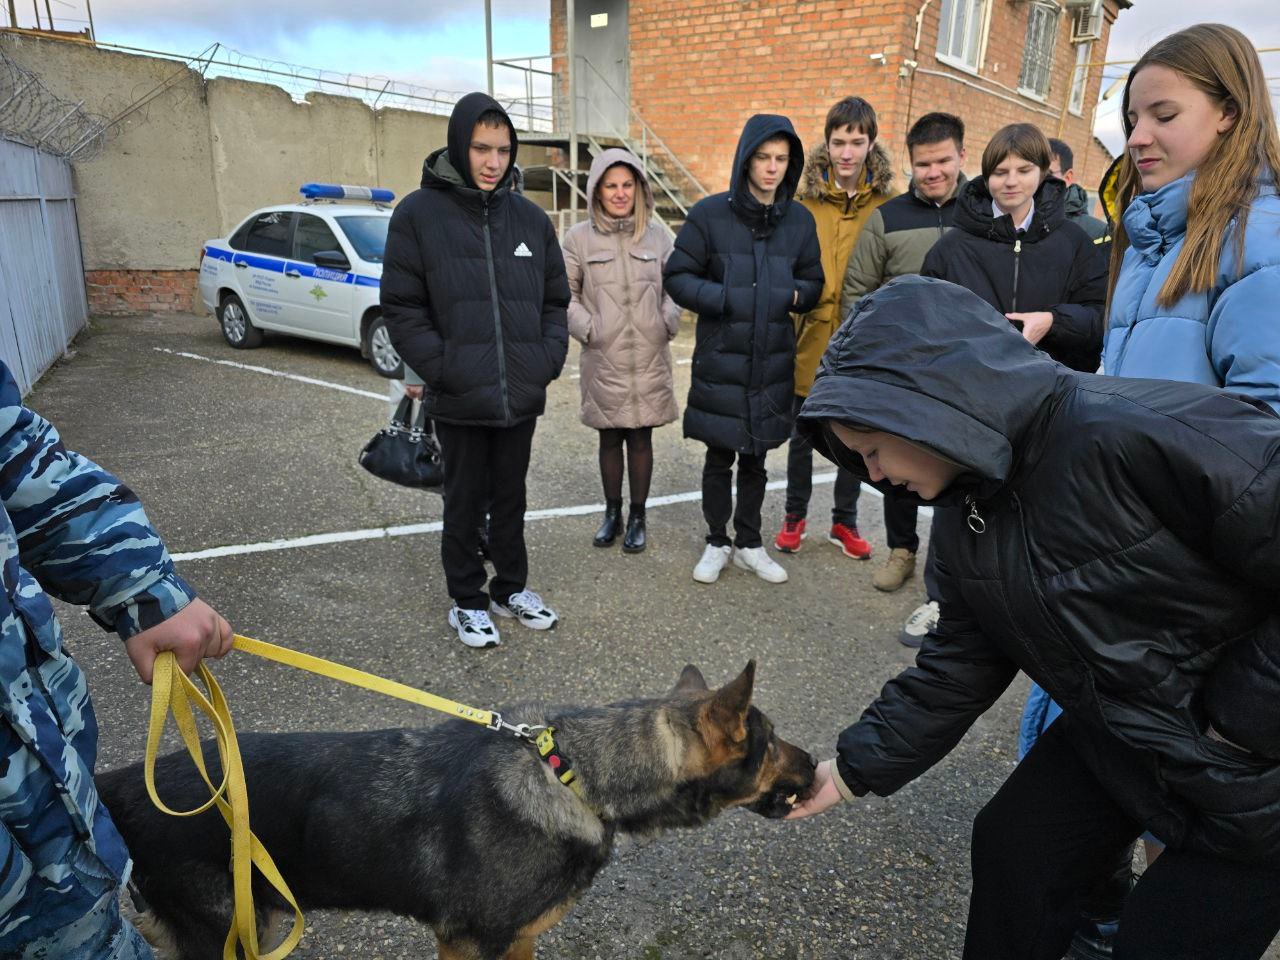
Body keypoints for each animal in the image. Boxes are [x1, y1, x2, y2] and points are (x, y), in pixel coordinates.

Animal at [97, 660, 808, 960]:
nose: (815, 763)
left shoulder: (515, 940)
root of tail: (119, 784)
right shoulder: (466, 943)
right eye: (772, 743)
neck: (575, 776)